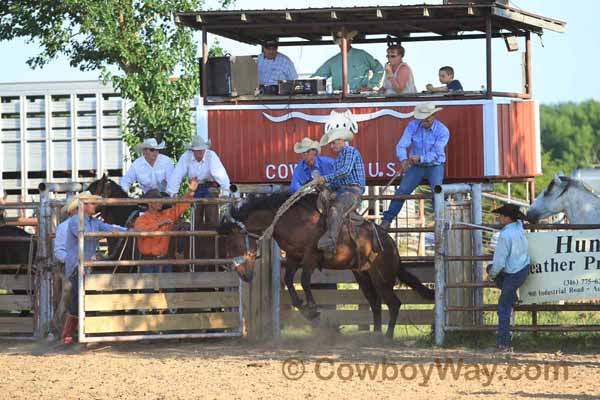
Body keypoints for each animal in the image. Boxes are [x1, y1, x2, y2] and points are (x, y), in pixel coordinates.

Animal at [218, 192, 434, 340]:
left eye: (234, 245)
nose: (242, 274)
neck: (293, 220)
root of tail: (392, 244)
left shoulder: (311, 257)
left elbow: (305, 281)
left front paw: (313, 311)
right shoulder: (293, 257)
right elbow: (288, 280)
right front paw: (304, 309)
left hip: (382, 278)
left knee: (393, 304)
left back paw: (387, 337)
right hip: (363, 277)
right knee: (375, 304)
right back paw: (376, 334)